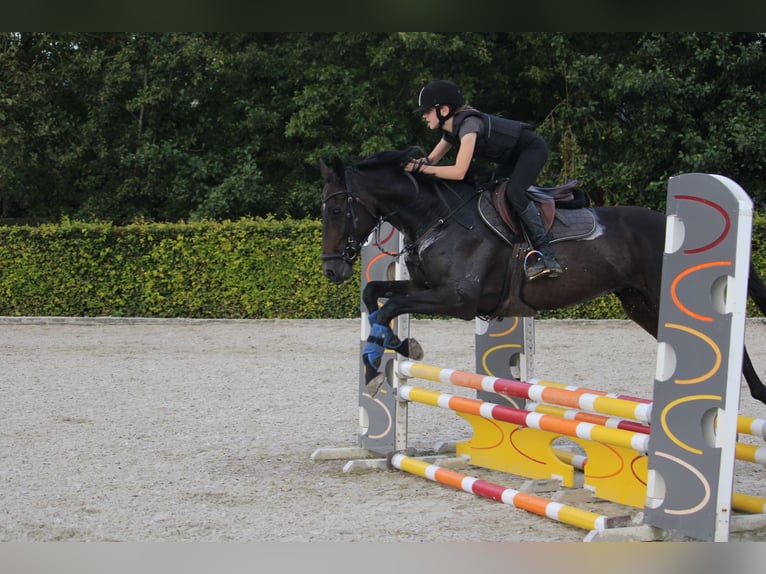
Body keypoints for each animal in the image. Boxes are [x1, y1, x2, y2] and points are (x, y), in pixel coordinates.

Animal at [318, 147, 766, 404]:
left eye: (337, 210)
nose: (331, 269)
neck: (437, 218)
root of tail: (666, 222)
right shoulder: (428, 287)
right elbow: (376, 296)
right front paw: (395, 349)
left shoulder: (459, 299)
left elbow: (388, 305)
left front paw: (380, 364)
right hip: (639, 304)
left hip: (659, 296)